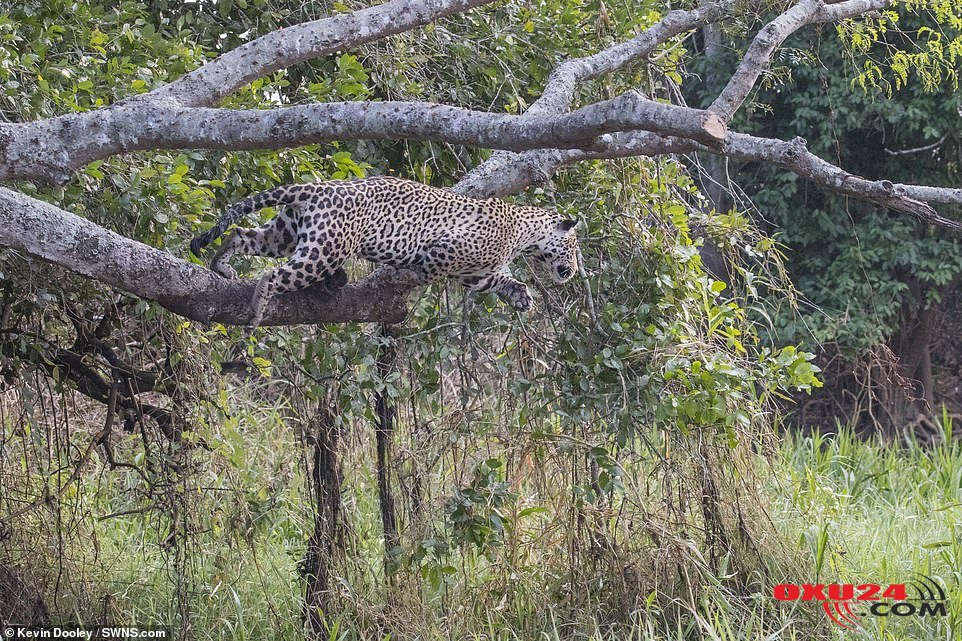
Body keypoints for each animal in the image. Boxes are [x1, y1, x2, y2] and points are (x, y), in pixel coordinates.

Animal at [190, 176, 579, 326]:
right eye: (574, 248)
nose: (574, 270)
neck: (526, 233)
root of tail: (315, 188)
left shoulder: (474, 273)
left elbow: (498, 282)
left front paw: (522, 298)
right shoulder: (448, 249)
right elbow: (427, 268)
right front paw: (405, 273)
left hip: (284, 233)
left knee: (239, 234)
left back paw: (221, 266)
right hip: (323, 250)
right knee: (273, 275)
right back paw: (257, 307)